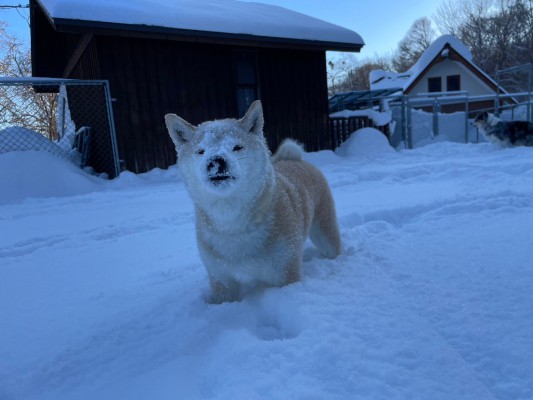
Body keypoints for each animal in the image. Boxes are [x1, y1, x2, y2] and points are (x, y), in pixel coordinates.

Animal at [164, 101, 342, 304]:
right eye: (201, 151)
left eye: (237, 147)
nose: (215, 161)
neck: (232, 225)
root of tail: (293, 159)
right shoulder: (221, 279)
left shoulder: (286, 271)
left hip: (326, 234)